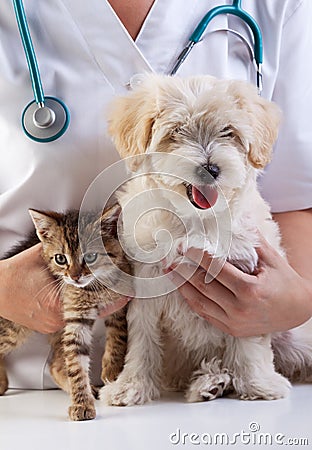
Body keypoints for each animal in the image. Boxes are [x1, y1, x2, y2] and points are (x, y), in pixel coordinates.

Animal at [0, 206, 132, 420]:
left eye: (90, 257)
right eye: (60, 259)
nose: (75, 276)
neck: (95, 288)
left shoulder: (120, 303)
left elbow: (118, 335)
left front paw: (112, 370)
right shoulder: (75, 317)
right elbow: (76, 364)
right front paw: (81, 403)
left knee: (54, 365)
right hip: (15, 327)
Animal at [100, 74, 312, 404]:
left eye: (229, 132)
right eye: (176, 132)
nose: (211, 168)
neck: (195, 222)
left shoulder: (247, 287)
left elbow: (249, 336)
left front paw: (257, 383)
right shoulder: (146, 284)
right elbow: (142, 340)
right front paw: (131, 385)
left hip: (296, 334)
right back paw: (211, 382)